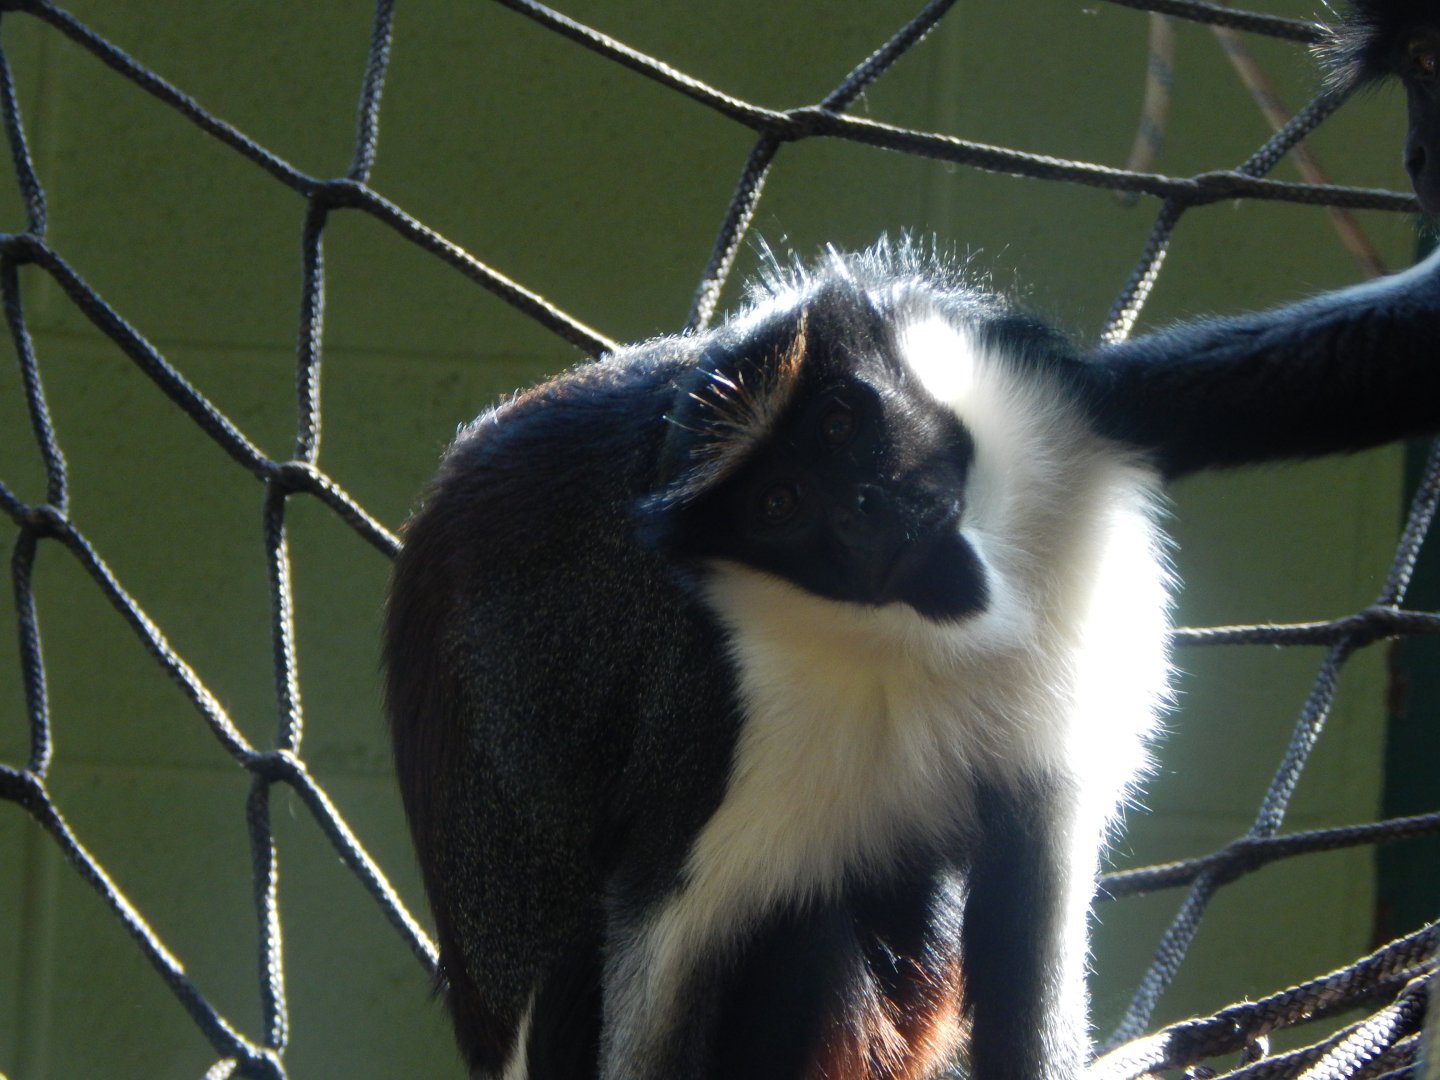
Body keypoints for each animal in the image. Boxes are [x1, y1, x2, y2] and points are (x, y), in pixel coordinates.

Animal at [384, 241, 1440, 1080]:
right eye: (780, 504)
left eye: (840, 424)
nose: (863, 509)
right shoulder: (720, 712)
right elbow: (663, 945)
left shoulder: (1047, 403)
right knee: (801, 932)